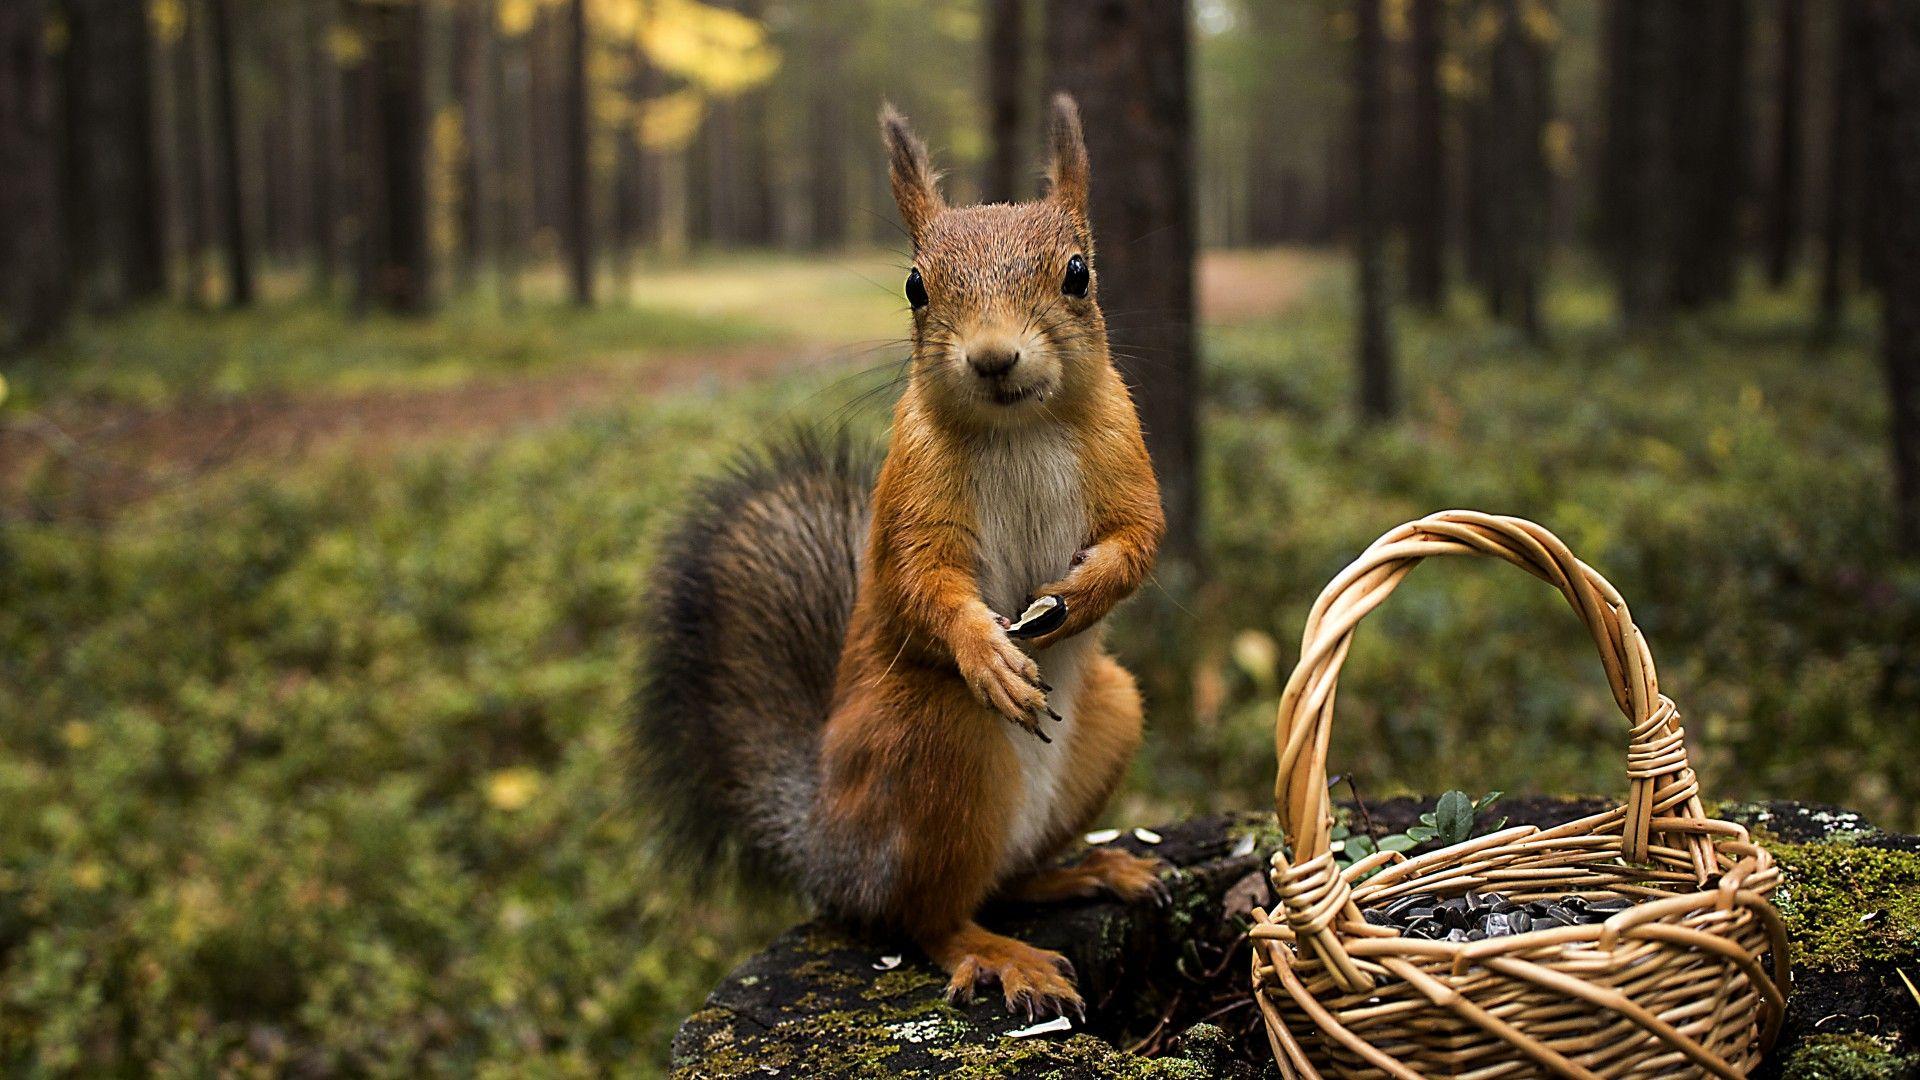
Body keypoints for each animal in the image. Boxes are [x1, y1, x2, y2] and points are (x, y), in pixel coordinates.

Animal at [634, 94, 1165, 1020]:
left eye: (1078, 273)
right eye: (917, 286)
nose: (993, 357)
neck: (1020, 427)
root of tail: (828, 849)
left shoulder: (1125, 455)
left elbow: (1139, 539)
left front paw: (1081, 595)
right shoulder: (912, 493)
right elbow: (922, 582)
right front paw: (988, 651)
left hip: (1112, 715)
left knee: (1005, 880)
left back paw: (1087, 870)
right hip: (932, 743)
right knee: (927, 916)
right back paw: (999, 953)